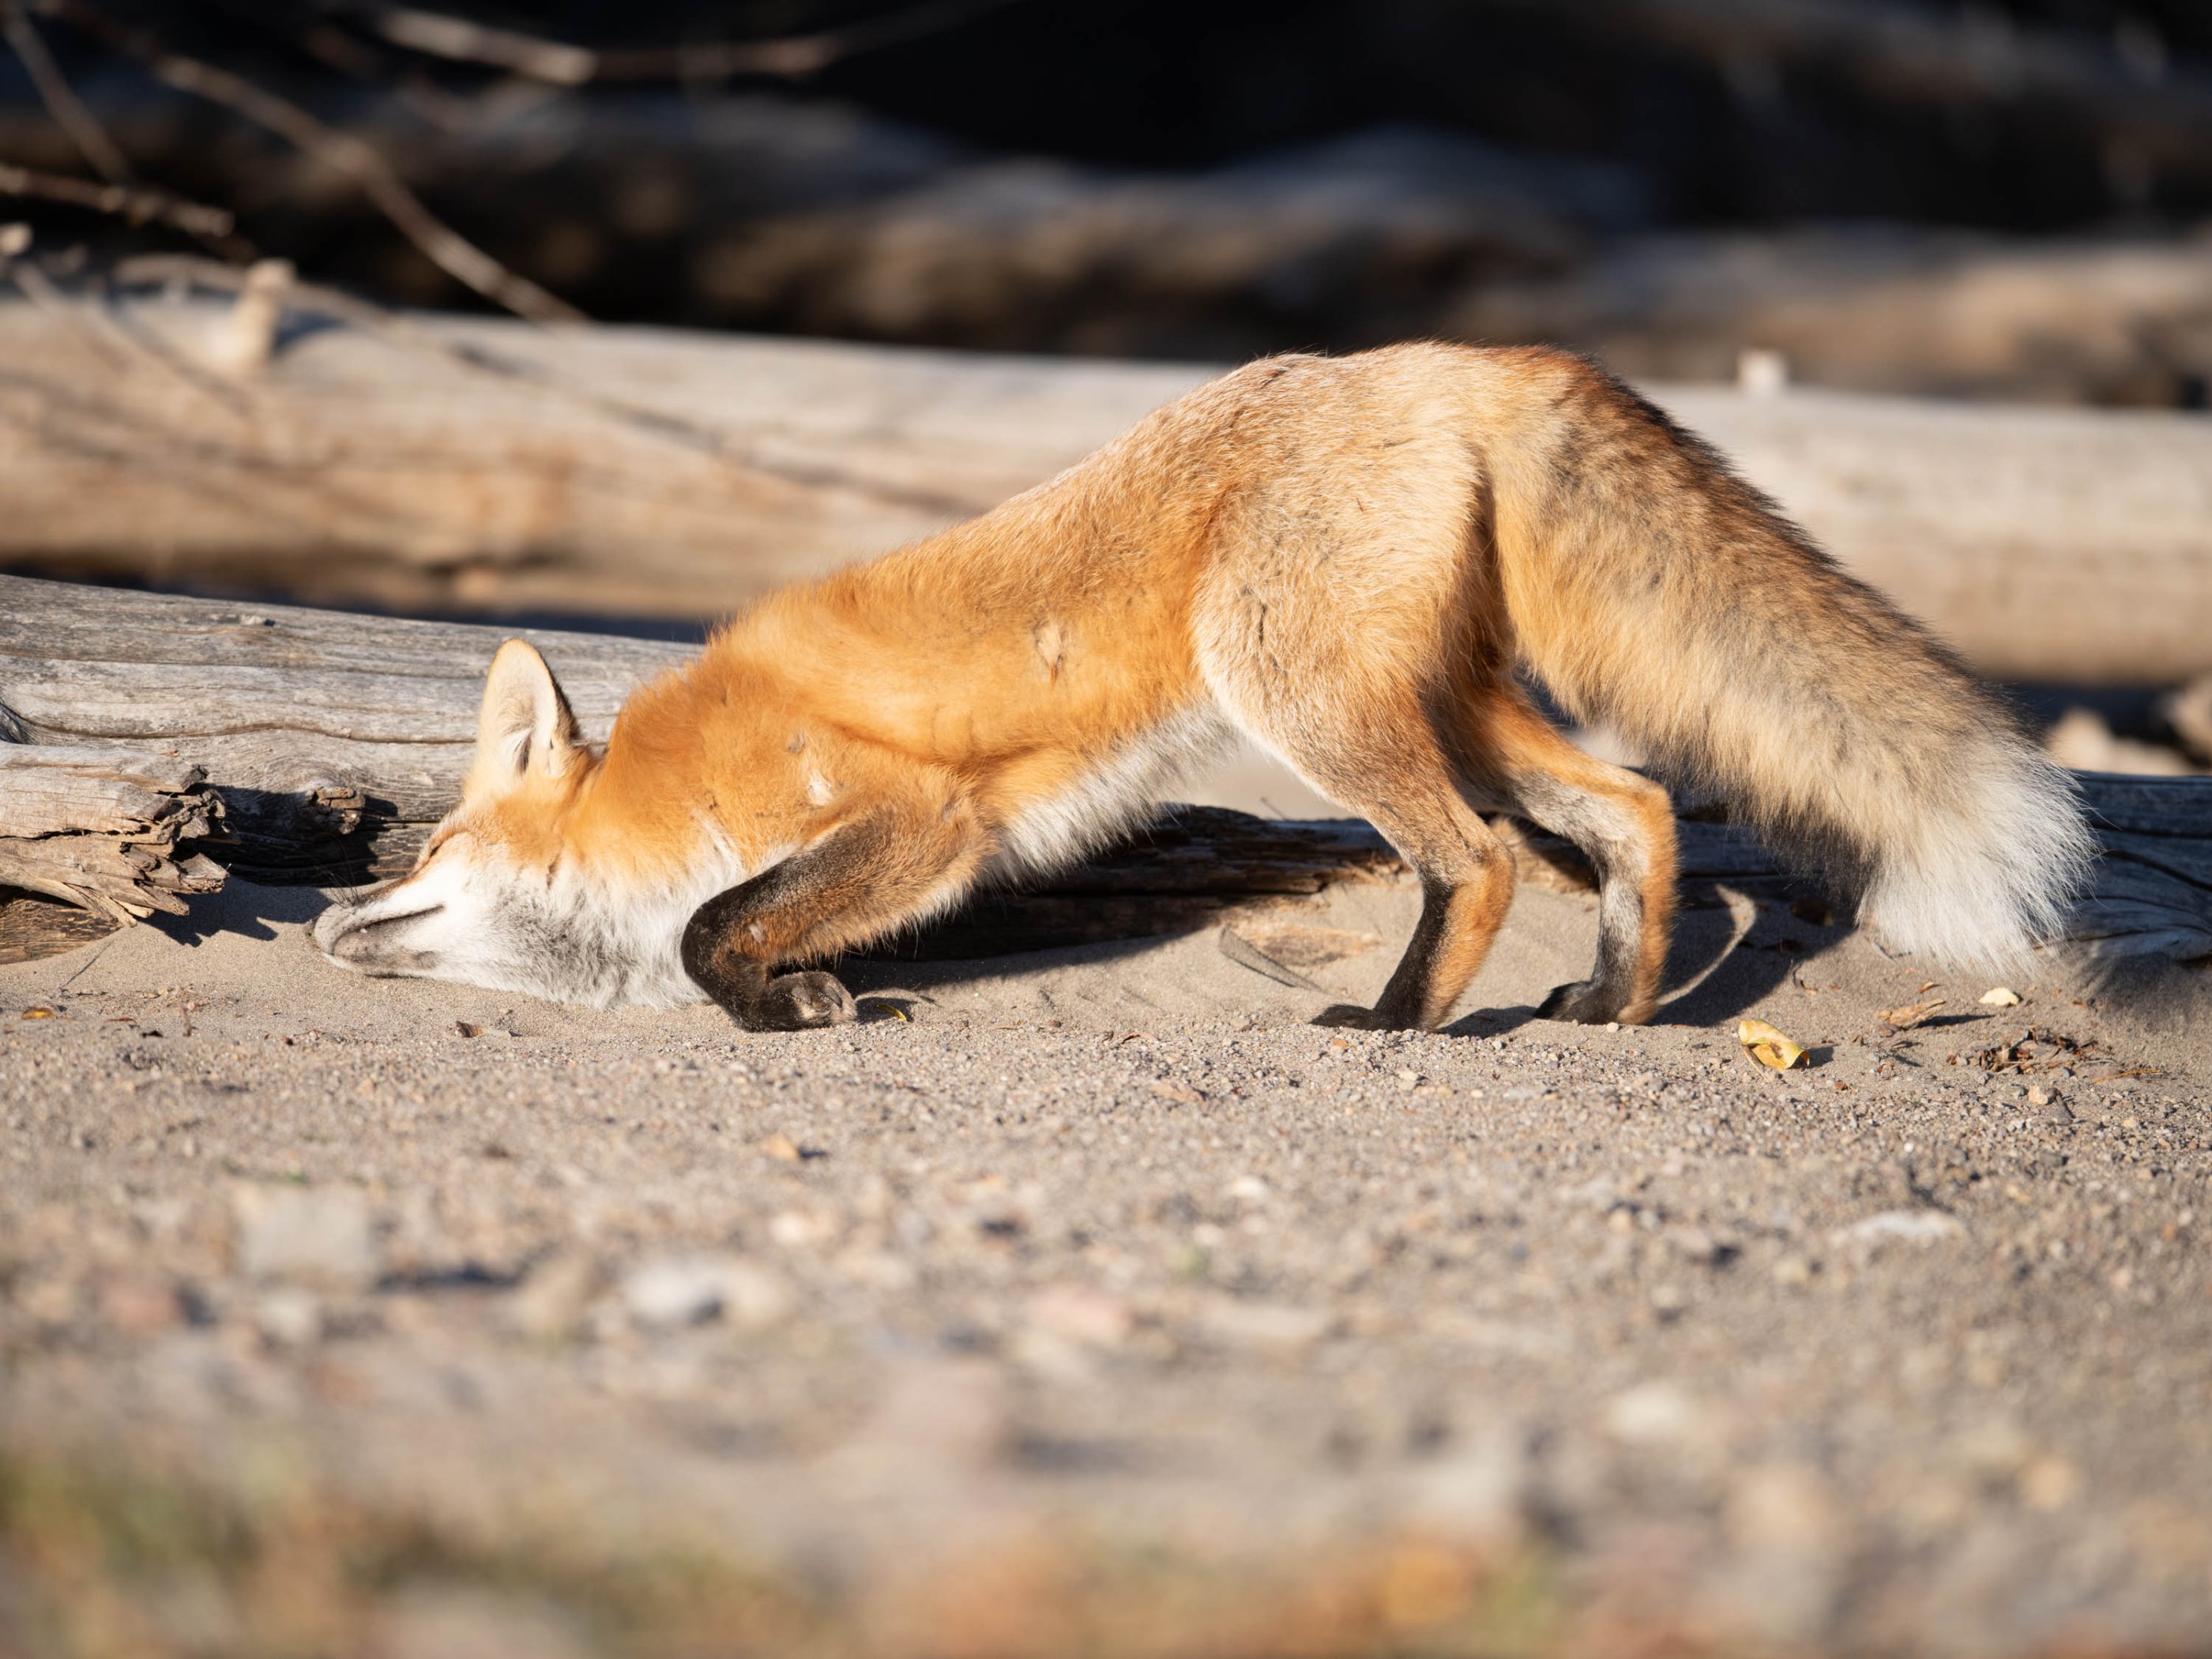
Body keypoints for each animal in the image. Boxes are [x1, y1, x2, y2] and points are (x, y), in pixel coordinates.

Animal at [311, 344, 2088, 1035]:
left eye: (425, 854)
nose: (323, 920)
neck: (669, 786)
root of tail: (1448, 358)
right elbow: (722, 928)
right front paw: (799, 992)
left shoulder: (916, 817)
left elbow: (709, 925)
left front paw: (785, 1002)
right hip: (1445, 704)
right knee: (1635, 807)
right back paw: (1609, 1006)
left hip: (1299, 694)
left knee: (1480, 860)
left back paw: (1396, 1023)